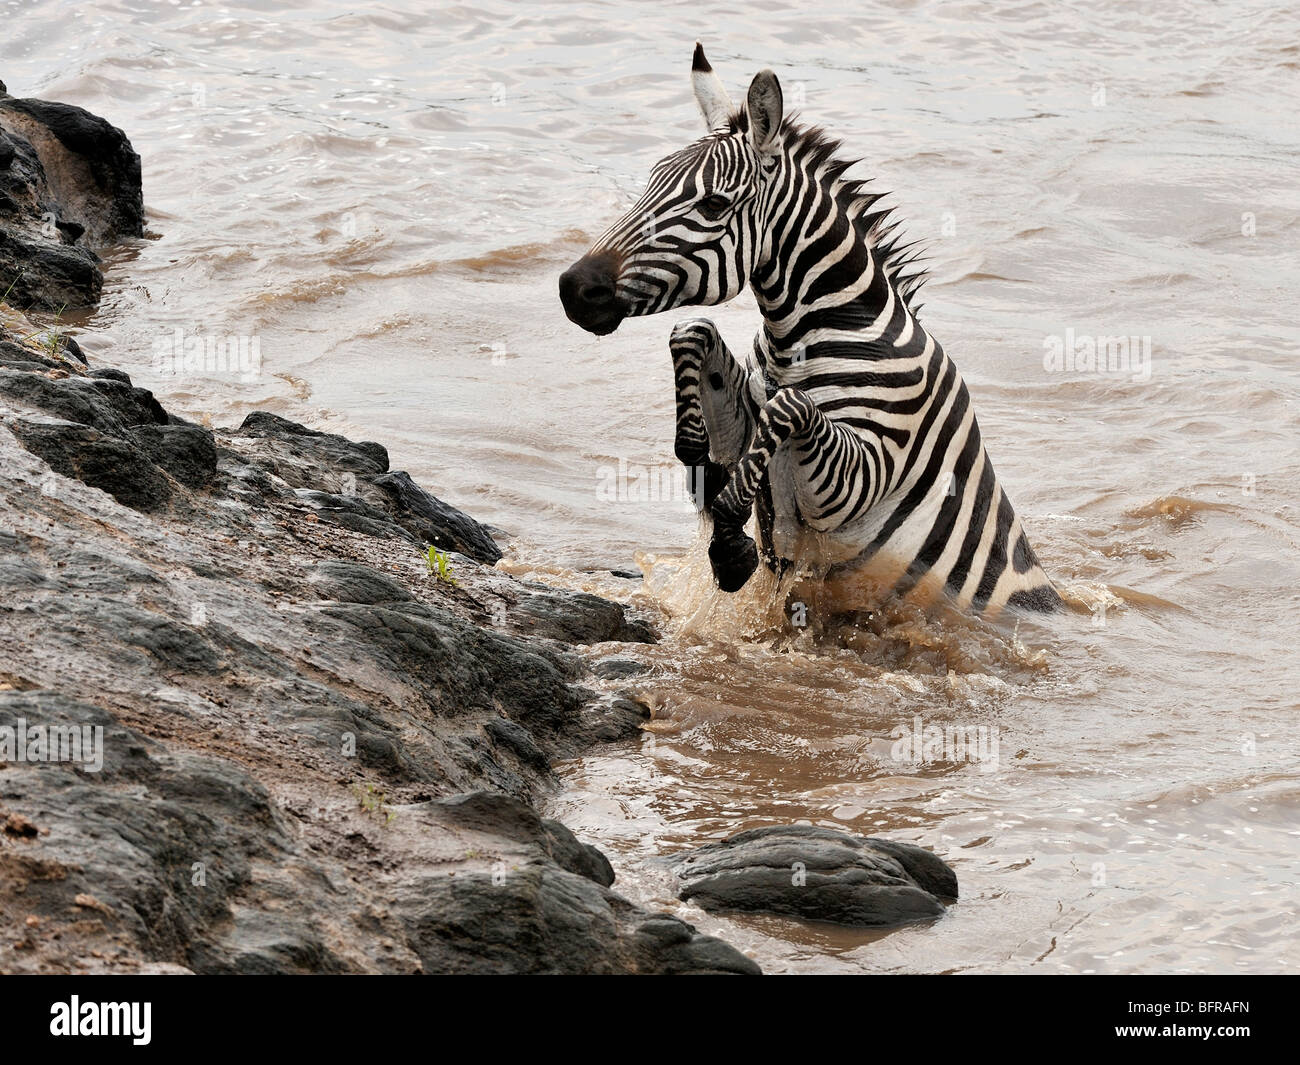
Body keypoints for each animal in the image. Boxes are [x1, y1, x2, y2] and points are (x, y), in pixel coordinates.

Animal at [559, 45, 1055, 616]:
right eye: (649, 184)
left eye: (713, 205)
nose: (573, 288)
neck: (803, 336)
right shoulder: (747, 413)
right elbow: (692, 332)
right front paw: (703, 466)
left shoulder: (865, 474)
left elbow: (789, 406)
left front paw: (729, 542)